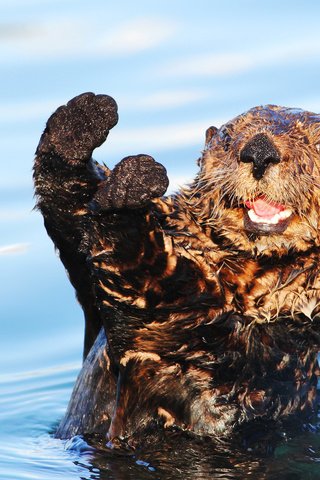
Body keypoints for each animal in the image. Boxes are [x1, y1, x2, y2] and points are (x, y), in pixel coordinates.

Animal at [33, 93, 320, 446]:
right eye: (228, 139)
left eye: (314, 143)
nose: (260, 151)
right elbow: (72, 221)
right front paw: (80, 122)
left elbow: (153, 288)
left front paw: (129, 188)